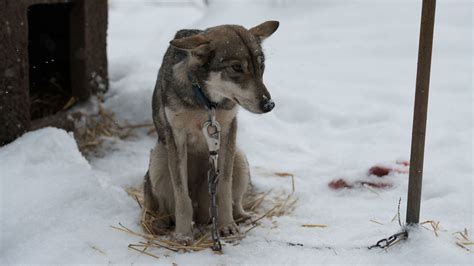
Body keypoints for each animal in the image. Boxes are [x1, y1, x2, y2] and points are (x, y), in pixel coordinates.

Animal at [143, 20, 278, 243]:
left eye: (262, 66)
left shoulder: (227, 131)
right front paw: (183, 235)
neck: (207, 103)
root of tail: (202, 215)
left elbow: (224, 189)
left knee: (235, 202)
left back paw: (243, 218)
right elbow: (182, 197)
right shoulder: (177, 137)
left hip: (239, 158)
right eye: (236, 67)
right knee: (164, 208)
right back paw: (160, 223)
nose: (269, 105)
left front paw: (227, 226)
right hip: (159, 159)